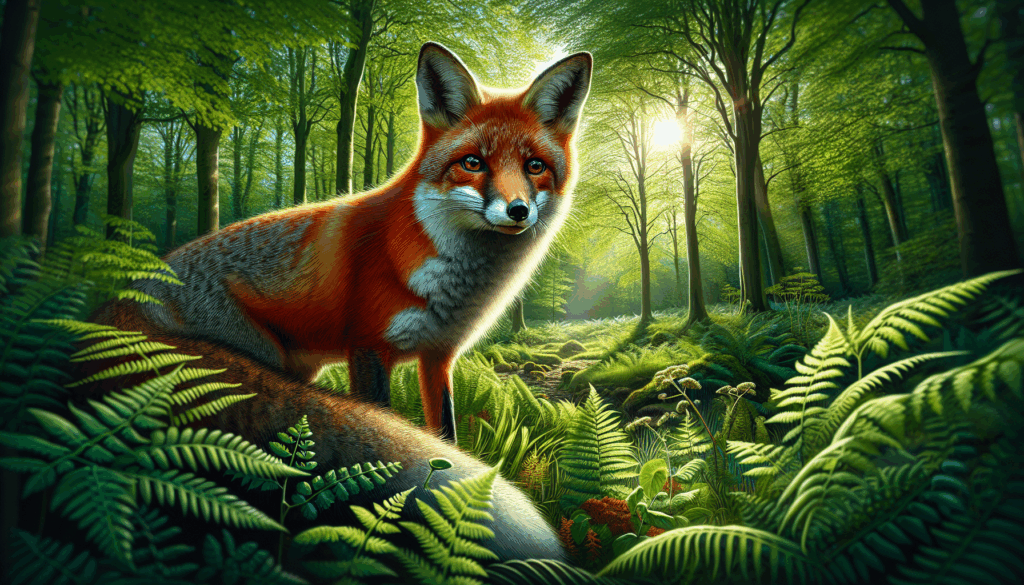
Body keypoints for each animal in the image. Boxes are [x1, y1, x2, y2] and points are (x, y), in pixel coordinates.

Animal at [81, 42, 592, 564]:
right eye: (473, 163)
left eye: (534, 167)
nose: (518, 211)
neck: (453, 280)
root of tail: (118, 304)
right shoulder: (367, 348)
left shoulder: (438, 357)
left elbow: (445, 436)